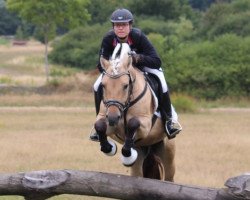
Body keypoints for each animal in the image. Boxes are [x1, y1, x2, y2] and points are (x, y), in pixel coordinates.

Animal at [93, 43, 175, 180]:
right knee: (138, 173)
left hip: (168, 152)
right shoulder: (107, 121)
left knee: (169, 176)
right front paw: (110, 148)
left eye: (125, 86)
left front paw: (127, 154)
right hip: (141, 154)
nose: (113, 118)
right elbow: (99, 126)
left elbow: (133, 123)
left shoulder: (146, 125)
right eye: (103, 86)